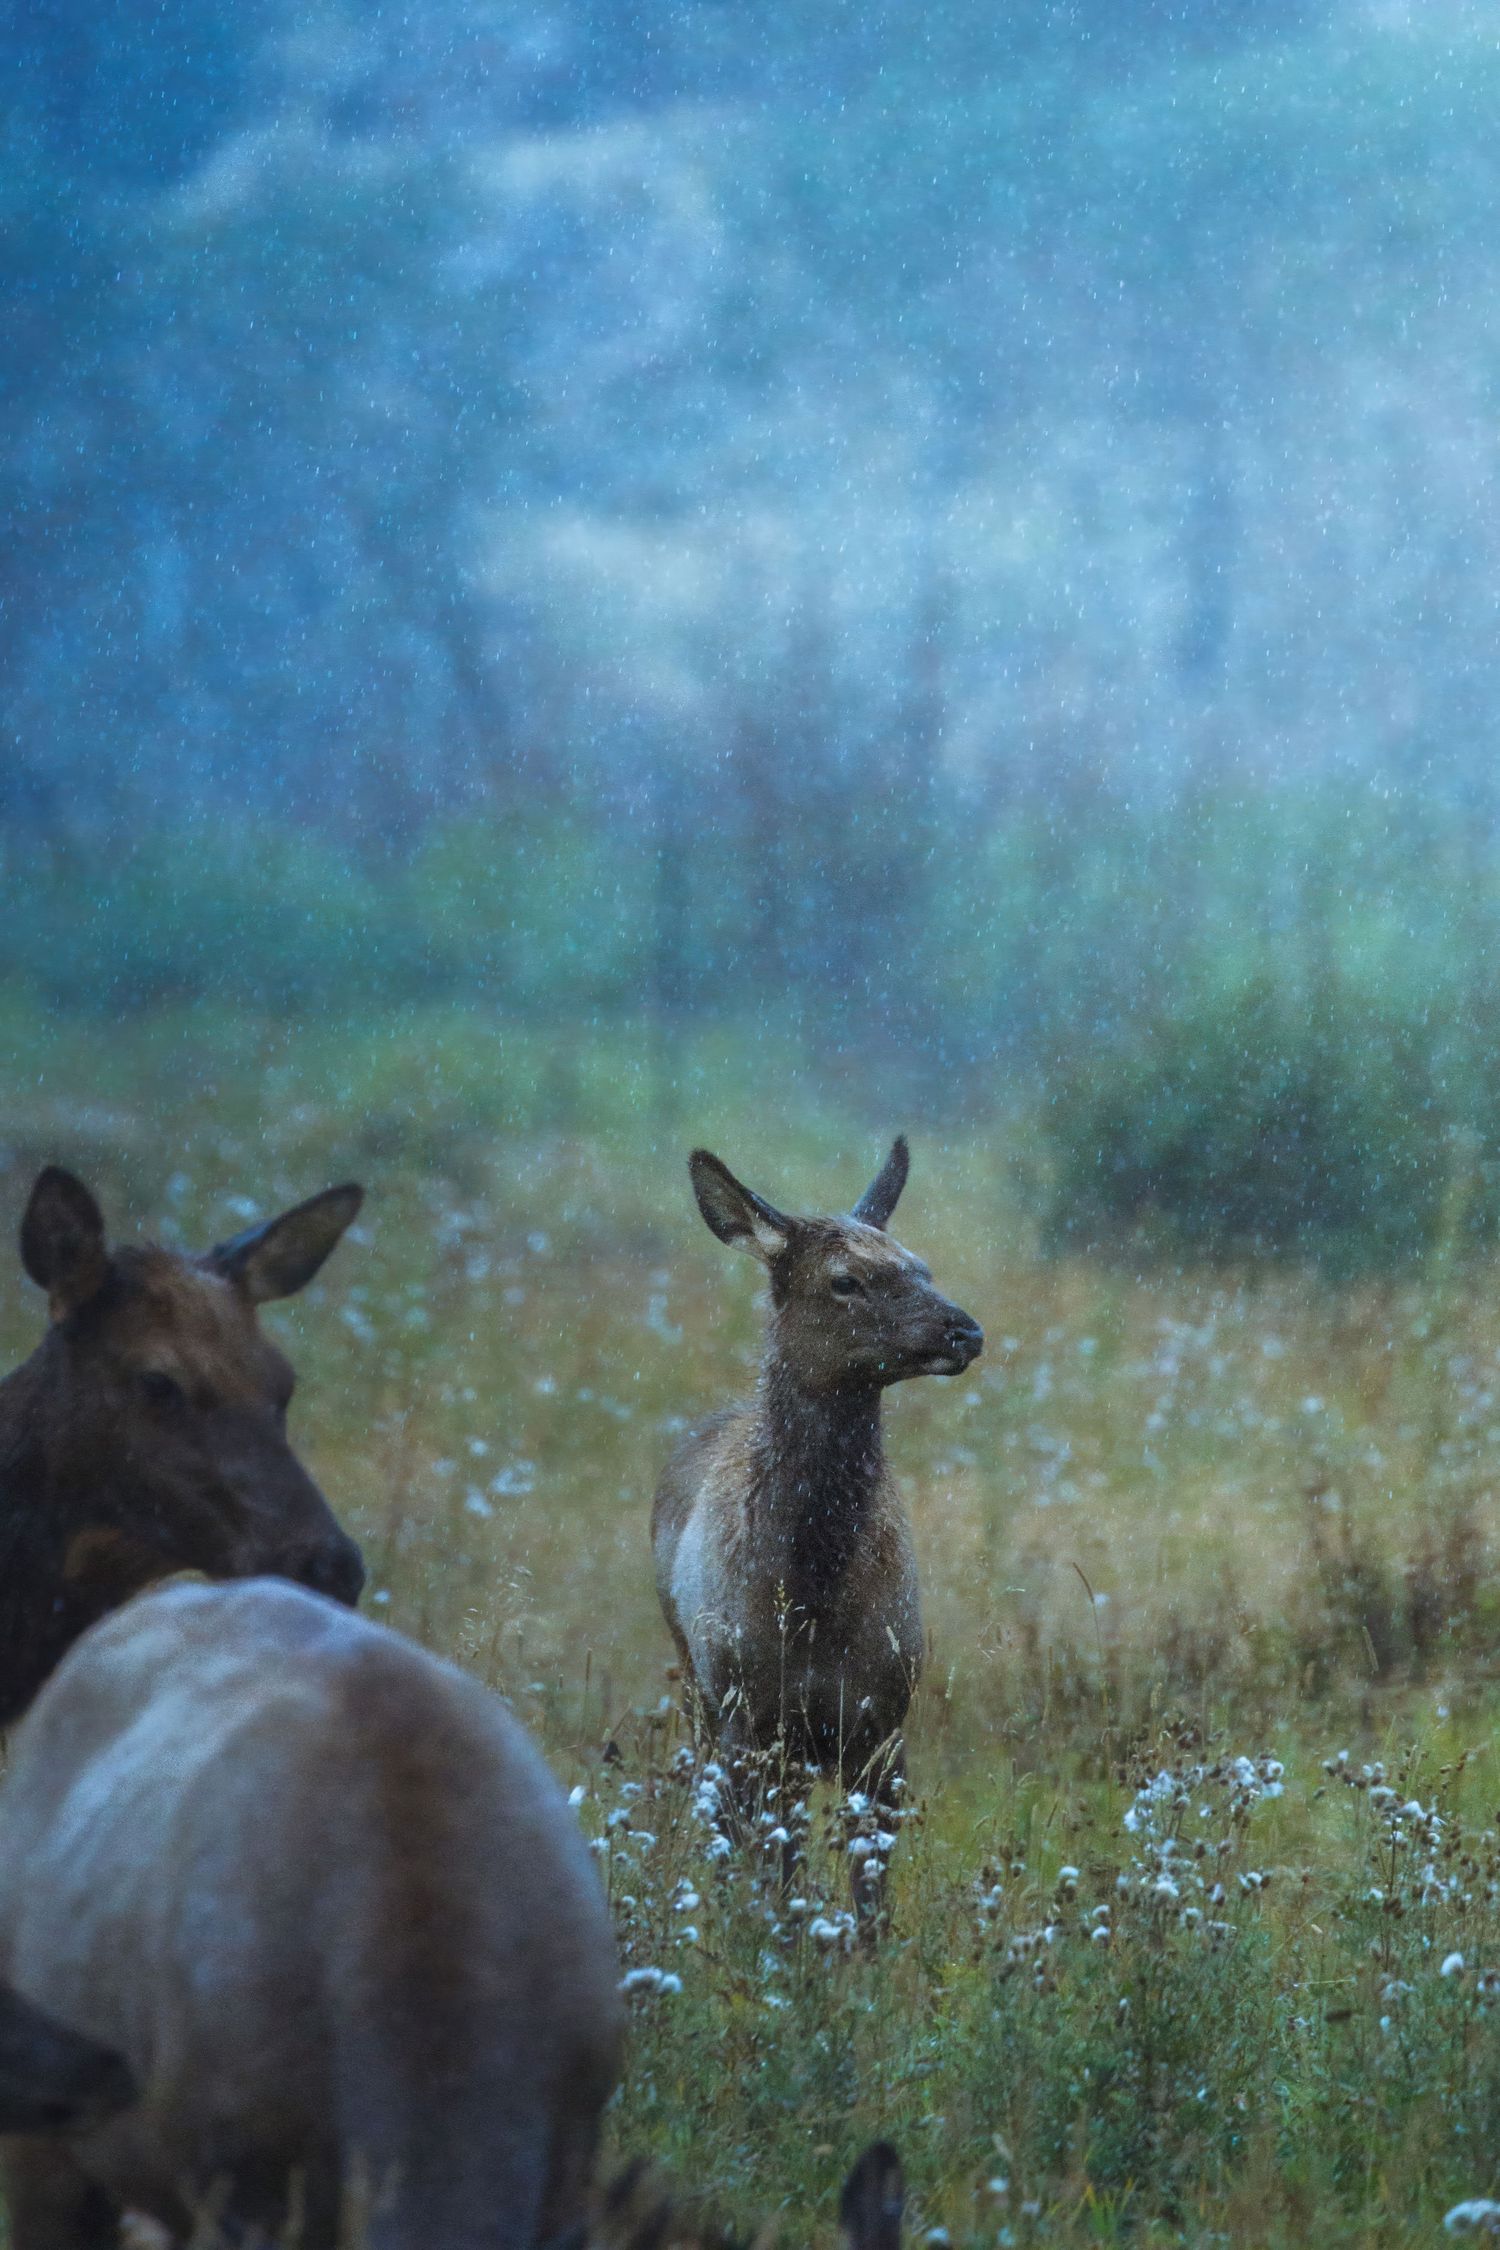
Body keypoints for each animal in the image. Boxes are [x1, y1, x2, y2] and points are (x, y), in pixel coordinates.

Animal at [651, 1138, 982, 1921]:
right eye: (845, 1281)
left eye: (922, 1266)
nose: (965, 1330)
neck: (810, 1597)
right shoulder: (747, 1718)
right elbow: (768, 1868)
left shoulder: (883, 1717)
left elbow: (869, 1891)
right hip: (698, 1688)